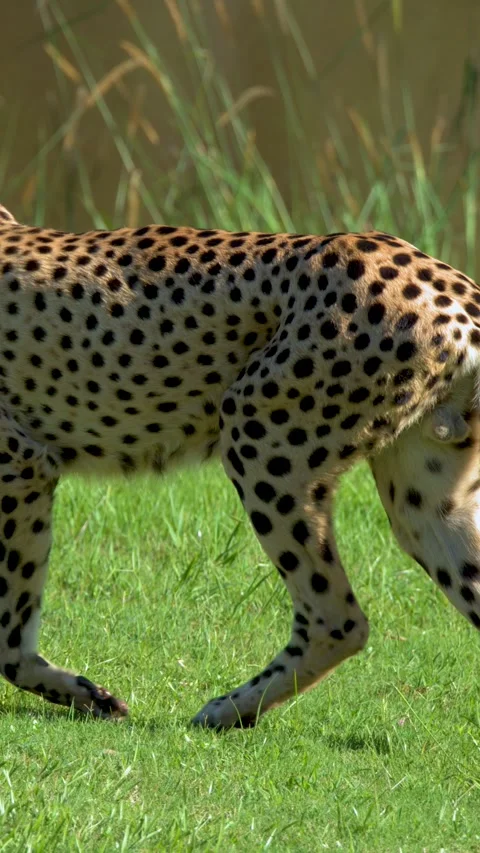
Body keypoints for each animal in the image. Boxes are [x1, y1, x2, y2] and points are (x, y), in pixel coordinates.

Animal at [0, 200, 479, 729]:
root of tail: (448, 280)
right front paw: (85, 695)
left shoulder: (19, 461)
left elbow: (8, 628)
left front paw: (82, 694)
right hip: (426, 502)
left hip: (260, 435)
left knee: (338, 619)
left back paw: (225, 710)